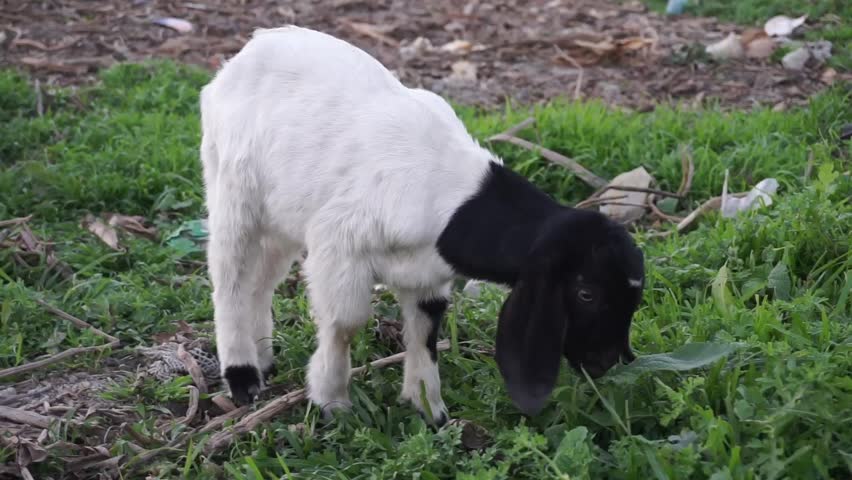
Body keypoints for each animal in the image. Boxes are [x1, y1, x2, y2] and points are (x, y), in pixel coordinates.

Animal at [199, 26, 645, 426]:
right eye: (586, 293)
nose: (609, 362)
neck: (450, 195)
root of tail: (250, 49)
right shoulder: (339, 246)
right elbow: (344, 324)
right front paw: (331, 402)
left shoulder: (427, 275)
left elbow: (426, 329)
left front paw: (430, 410)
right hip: (231, 190)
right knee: (230, 279)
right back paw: (242, 376)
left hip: (282, 215)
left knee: (261, 282)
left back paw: (264, 358)